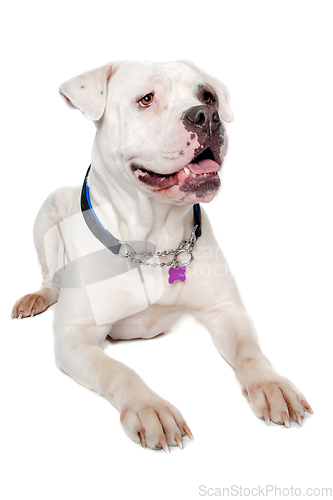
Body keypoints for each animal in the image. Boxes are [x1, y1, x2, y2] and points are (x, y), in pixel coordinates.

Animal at [11, 60, 312, 452]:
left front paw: (272, 385)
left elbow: (250, 350)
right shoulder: (74, 337)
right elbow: (118, 370)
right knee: (49, 276)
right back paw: (36, 297)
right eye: (147, 99)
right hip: (47, 212)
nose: (207, 116)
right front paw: (150, 408)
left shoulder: (225, 310)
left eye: (208, 95)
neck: (154, 241)